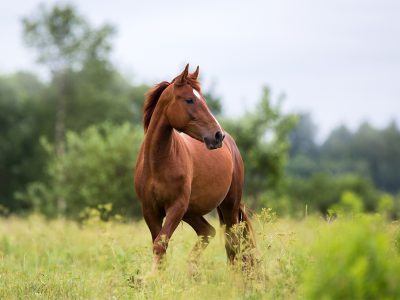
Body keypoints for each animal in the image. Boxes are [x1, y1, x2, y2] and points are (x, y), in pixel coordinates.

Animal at [133, 63, 255, 272]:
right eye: (189, 100)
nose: (217, 136)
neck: (158, 163)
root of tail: (231, 145)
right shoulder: (150, 211)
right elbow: (159, 246)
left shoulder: (176, 207)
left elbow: (160, 244)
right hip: (192, 212)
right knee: (208, 232)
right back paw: (193, 269)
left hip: (228, 206)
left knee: (233, 242)